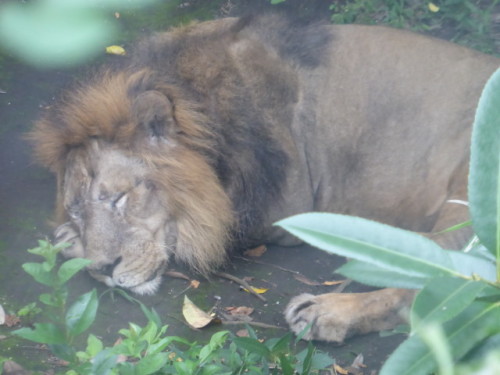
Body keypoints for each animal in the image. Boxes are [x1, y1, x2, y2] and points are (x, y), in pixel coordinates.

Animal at [31, 15, 500, 344]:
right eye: (78, 210)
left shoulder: (279, 212)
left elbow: (196, 234)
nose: (104, 270)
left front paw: (69, 244)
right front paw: (70, 240)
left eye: (120, 197)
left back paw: (325, 313)